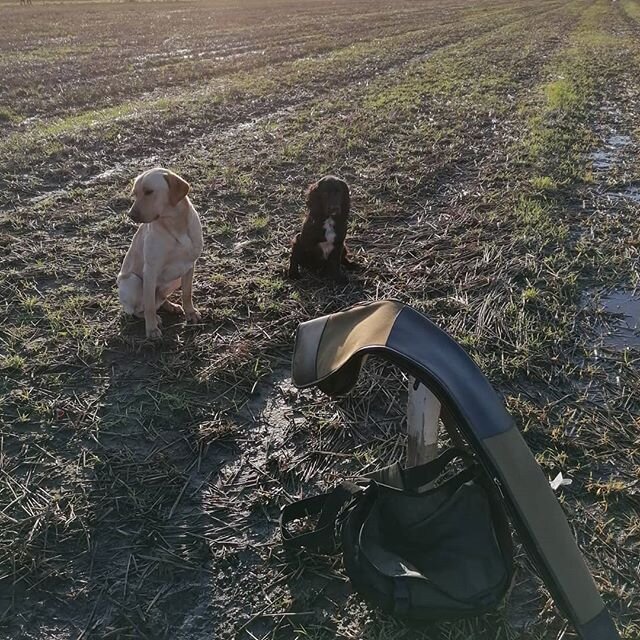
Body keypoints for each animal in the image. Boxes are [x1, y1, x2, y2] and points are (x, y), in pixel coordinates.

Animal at [117, 170, 202, 340]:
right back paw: (155, 318)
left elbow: (187, 294)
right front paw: (151, 329)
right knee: (140, 309)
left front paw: (190, 312)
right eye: (134, 194)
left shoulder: (189, 266)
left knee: (159, 300)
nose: (130, 215)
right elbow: (149, 307)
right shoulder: (150, 270)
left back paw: (171, 306)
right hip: (133, 281)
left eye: (149, 192)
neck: (175, 225)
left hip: (176, 279)